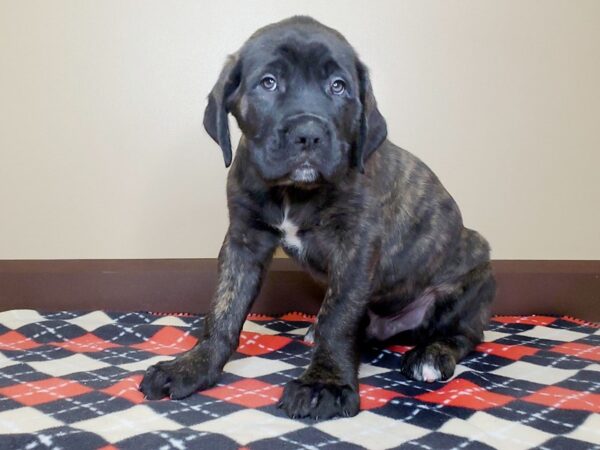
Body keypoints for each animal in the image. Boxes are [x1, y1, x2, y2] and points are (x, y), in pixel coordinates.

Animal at [138, 15, 494, 420]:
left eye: (338, 86)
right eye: (268, 82)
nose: (308, 134)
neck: (293, 192)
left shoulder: (355, 246)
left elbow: (339, 318)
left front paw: (325, 383)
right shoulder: (244, 241)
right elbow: (223, 309)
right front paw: (194, 365)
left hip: (473, 277)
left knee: (466, 334)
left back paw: (431, 355)